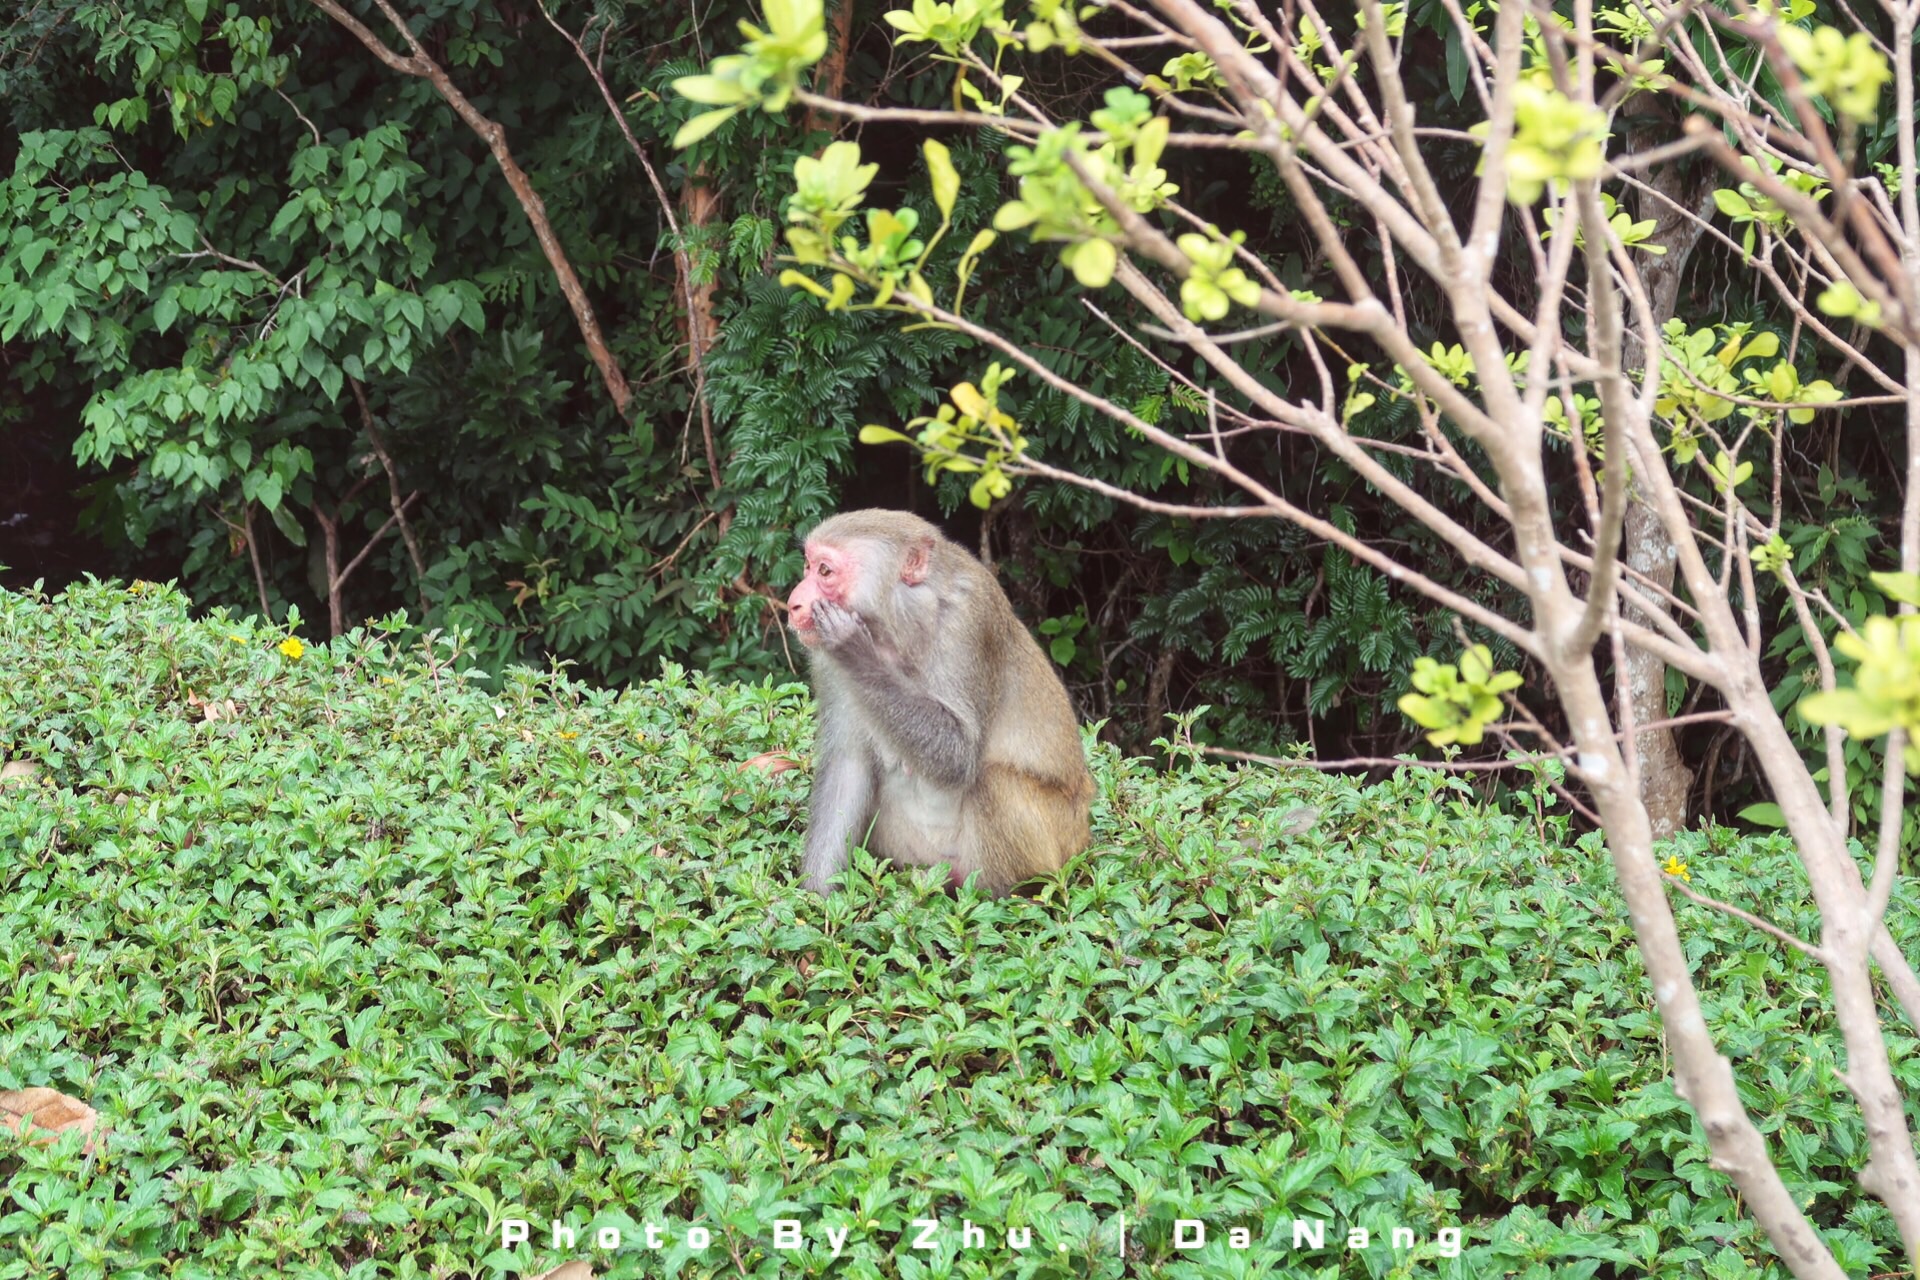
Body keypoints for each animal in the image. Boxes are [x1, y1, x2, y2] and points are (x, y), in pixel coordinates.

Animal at [783, 506, 1098, 898]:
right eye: (808, 566)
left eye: (825, 571)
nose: (793, 603)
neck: (898, 626)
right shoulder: (827, 662)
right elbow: (848, 765)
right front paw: (811, 902)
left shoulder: (970, 620)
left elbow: (958, 758)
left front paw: (854, 649)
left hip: (1060, 838)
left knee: (992, 780)